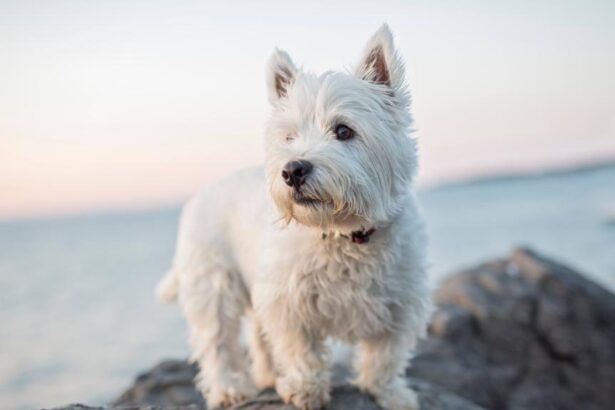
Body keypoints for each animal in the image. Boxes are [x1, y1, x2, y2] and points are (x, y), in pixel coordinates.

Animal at [156, 24, 430, 410]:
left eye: (343, 130)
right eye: (289, 136)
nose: (293, 170)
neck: (342, 234)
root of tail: (199, 195)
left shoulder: (400, 303)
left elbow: (385, 356)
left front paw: (390, 393)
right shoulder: (288, 301)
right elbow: (301, 350)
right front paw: (305, 389)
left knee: (256, 336)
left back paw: (268, 376)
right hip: (213, 283)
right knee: (217, 342)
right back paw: (228, 390)